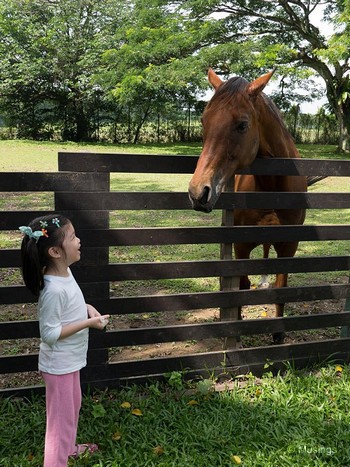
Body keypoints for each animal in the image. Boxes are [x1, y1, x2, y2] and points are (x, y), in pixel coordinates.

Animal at [189, 68, 306, 344]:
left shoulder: (289, 246)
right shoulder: (241, 245)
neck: (274, 187)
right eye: (203, 121)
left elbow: (281, 288)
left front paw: (278, 334)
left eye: (242, 125)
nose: (198, 192)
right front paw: (237, 329)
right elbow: (241, 286)